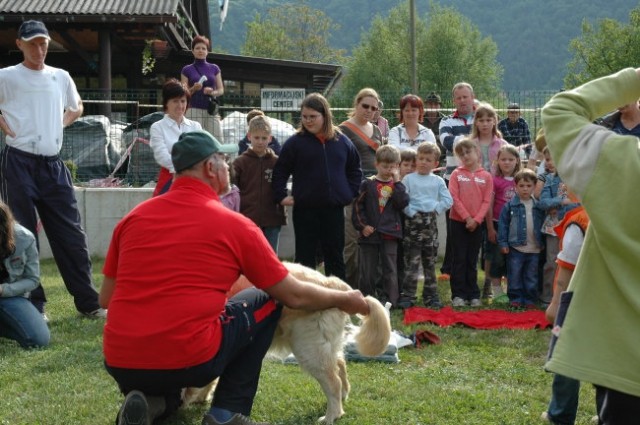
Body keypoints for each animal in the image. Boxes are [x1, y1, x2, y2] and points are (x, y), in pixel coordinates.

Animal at [182, 260, 392, 422]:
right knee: (340, 365)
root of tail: (332, 283)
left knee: (333, 381)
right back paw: (342, 397)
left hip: (308, 348)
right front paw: (200, 397)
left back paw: (331, 416)